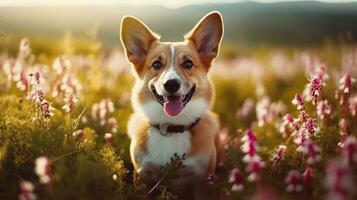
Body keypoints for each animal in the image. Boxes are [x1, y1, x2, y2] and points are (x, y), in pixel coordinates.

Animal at [119, 11, 221, 192]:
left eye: (188, 63)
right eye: (156, 64)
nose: (171, 84)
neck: (171, 127)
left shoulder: (201, 180)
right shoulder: (143, 174)